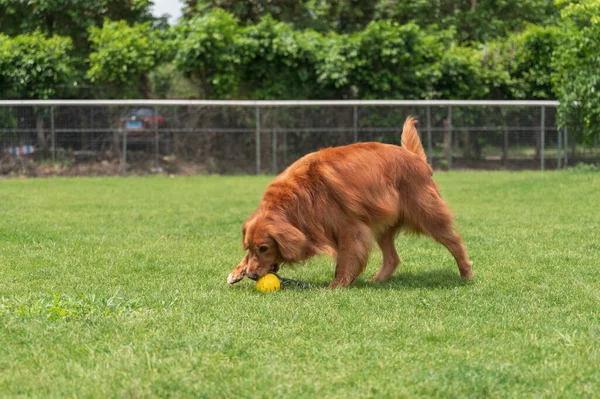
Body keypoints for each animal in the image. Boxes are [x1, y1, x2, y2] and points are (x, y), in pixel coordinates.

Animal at [227, 115, 472, 288]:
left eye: (265, 248)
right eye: (251, 247)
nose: (252, 275)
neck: (299, 200)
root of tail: (416, 159)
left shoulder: (350, 229)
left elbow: (344, 261)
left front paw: (336, 285)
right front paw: (236, 271)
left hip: (427, 215)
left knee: (455, 242)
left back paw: (466, 273)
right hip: (382, 225)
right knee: (392, 259)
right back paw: (377, 281)